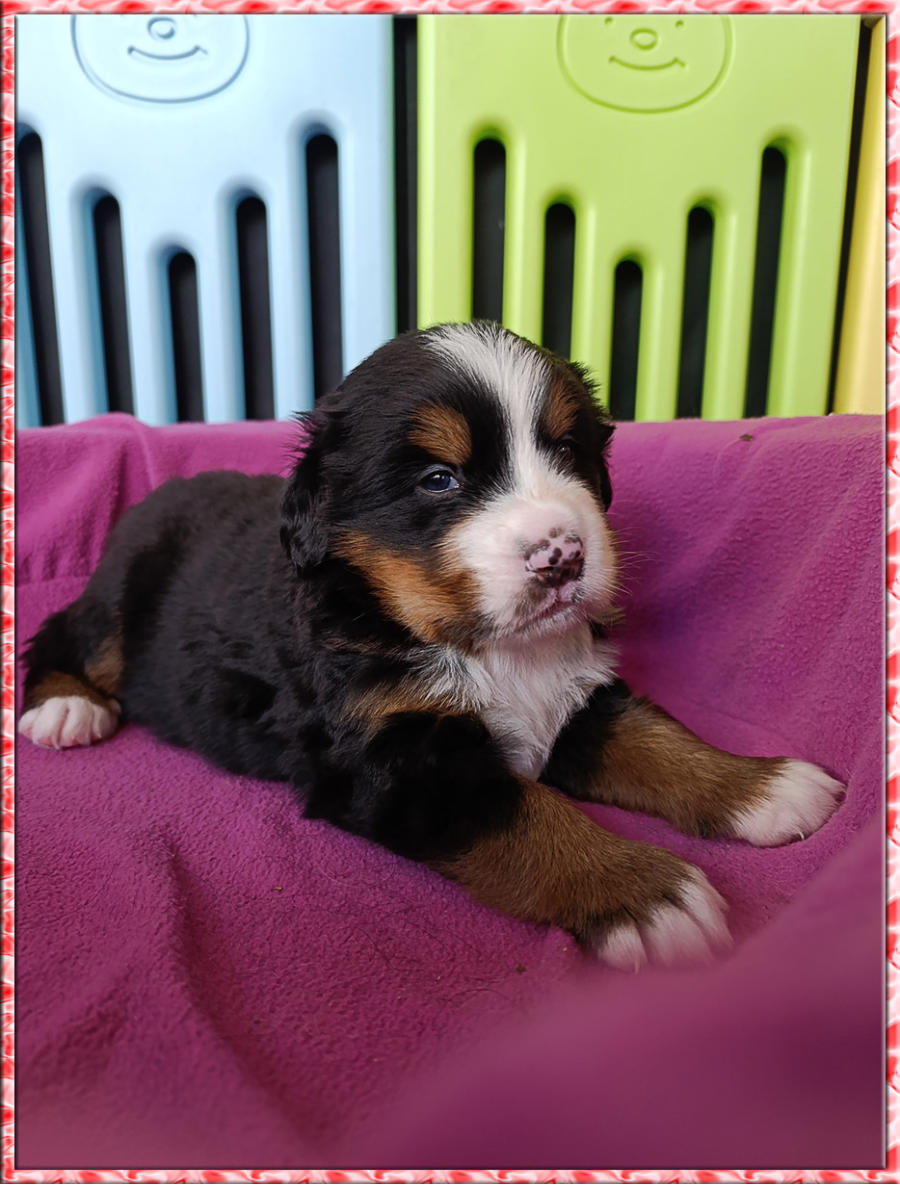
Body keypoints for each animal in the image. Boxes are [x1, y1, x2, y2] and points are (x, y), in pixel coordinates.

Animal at [18, 322, 843, 970]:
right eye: (440, 479)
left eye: (567, 449)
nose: (563, 555)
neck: (492, 650)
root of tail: (153, 498)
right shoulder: (397, 761)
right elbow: (533, 816)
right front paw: (649, 893)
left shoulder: (577, 694)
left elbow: (656, 737)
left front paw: (762, 786)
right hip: (120, 598)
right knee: (62, 634)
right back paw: (65, 709)